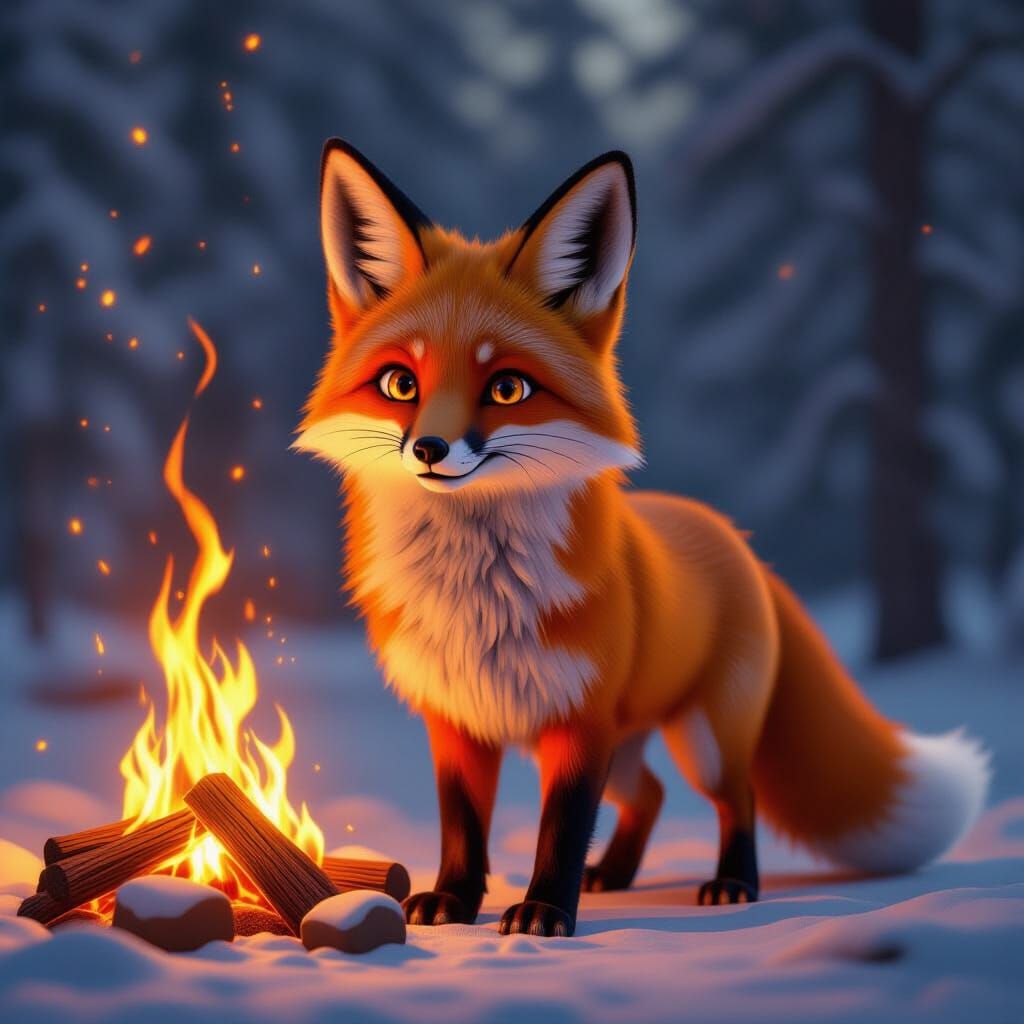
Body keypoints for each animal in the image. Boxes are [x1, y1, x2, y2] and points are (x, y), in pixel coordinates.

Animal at [295, 138, 990, 938]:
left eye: (507, 389)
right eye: (400, 385)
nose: (430, 450)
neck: (476, 596)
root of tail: (730, 532)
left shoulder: (580, 723)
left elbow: (561, 828)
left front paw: (543, 914)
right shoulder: (457, 720)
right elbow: (462, 825)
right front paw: (452, 902)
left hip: (703, 739)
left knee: (737, 798)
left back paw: (731, 883)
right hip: (629, 743)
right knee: (652, 794)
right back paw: (616, 875)